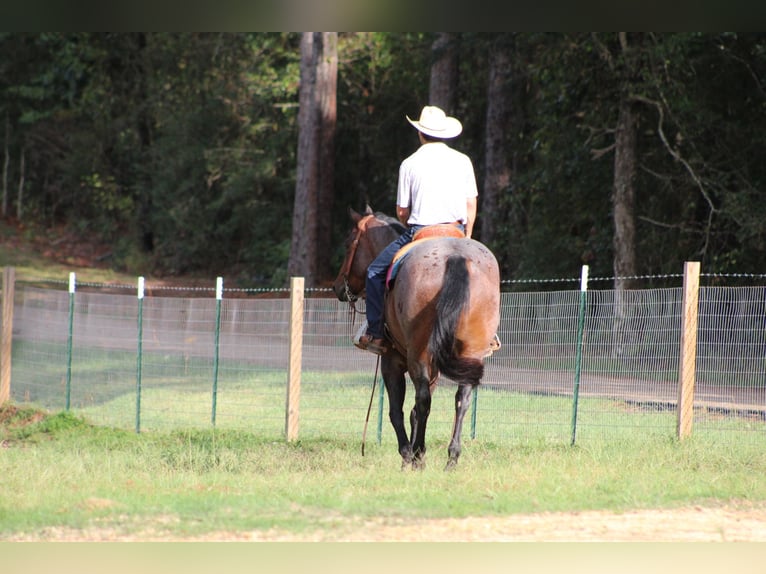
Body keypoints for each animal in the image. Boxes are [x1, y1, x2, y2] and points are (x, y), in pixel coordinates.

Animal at [332, 207, 500, 472]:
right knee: (461, 399)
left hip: (418, 354)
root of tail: (455, 257)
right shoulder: (434, 368)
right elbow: (413, 412)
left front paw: (407, 455)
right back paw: (451, 458)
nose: (338, 286)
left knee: (422, 400)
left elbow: (397, 411)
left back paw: (419, 455)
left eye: (349, 243)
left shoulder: (392, 361)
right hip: (470, 351)